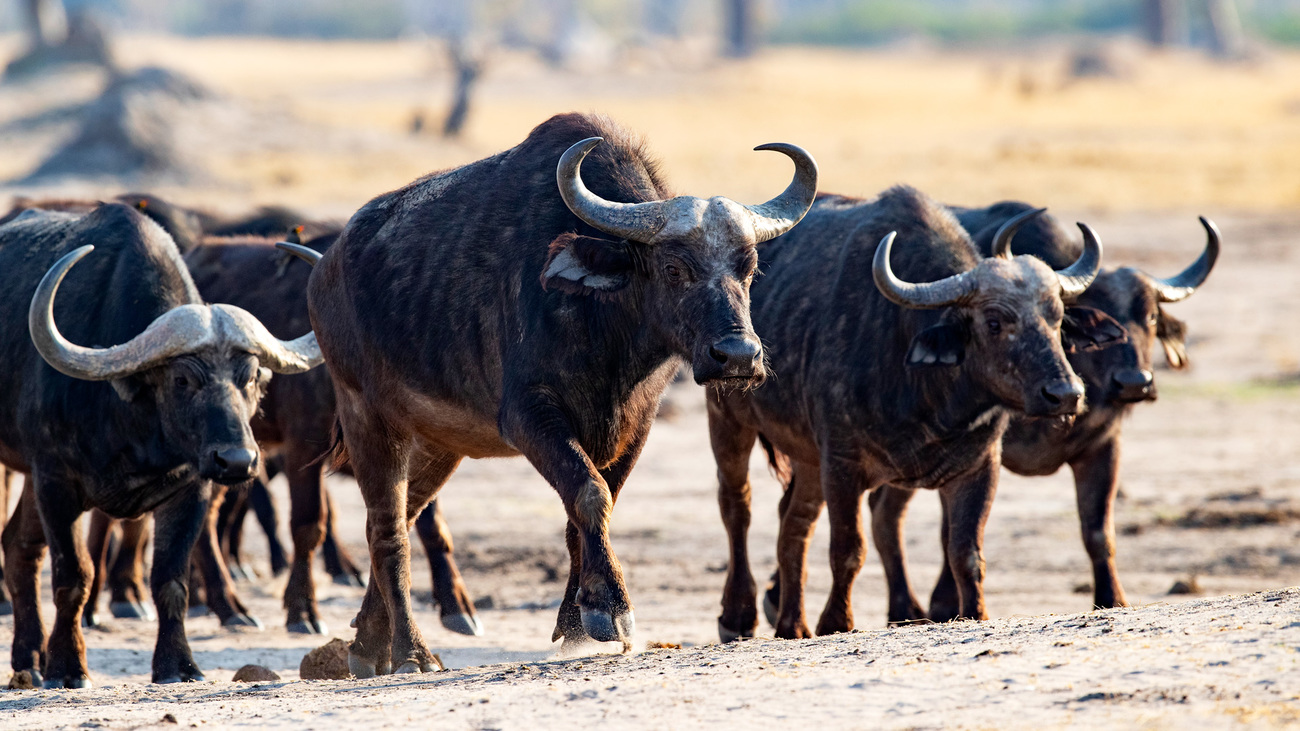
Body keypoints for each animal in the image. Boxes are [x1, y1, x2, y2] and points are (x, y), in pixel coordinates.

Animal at [293, 109, 816, 671]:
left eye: (749, 268)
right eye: (675, 268)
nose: (738, 356)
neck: (603, 324)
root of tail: (324, 269)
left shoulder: (636, 424)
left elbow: (588, 506)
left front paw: (577, 620)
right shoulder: (529, 416)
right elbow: (589, 492)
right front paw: (611, 610)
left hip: (438, 442)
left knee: (403, 515)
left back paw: (368, 643)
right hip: (367, 415)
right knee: (387, 527)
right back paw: (411, 652)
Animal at [868, 202, 1222, 619]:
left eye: (1150, 316)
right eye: (1095, 310)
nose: (1135, 382)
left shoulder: (1104, 447)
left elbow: (1098, 531)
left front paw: (1112, 597)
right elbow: (948, 533)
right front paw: (944, 603)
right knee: (885, 516)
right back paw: (904, 609)